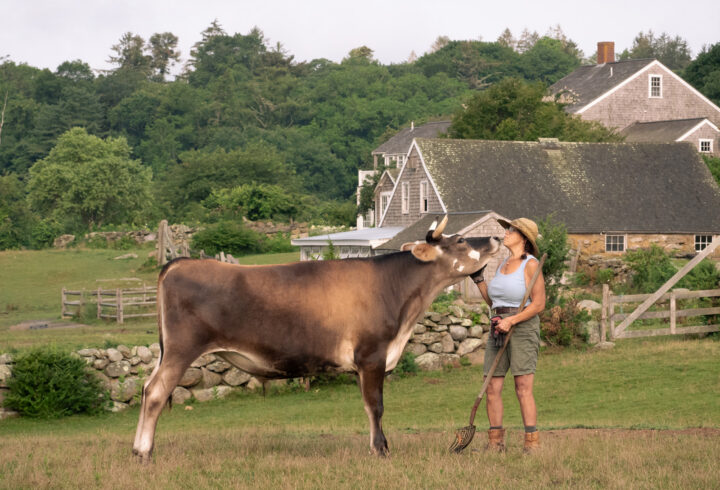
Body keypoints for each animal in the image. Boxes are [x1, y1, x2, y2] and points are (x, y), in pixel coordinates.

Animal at [132, 216, 501, 461]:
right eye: (461, 241)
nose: (496, 239)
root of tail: (179, 263)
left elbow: (367, 406)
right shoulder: (372, 355)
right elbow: (376, 405)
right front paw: (381, 450)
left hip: (171, 351)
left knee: (147, 388)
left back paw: (138, 448)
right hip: (181, 349)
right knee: (156, 393)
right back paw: (144, 452)